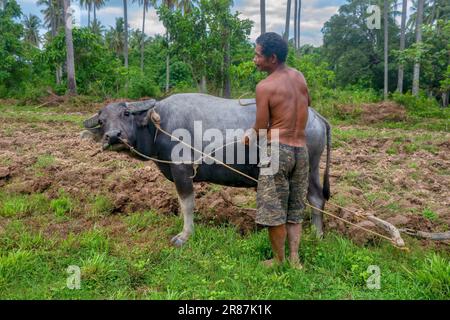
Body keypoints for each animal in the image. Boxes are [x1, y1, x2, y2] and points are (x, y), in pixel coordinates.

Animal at [84, 93, 330, 248]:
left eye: (126, 114)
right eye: (102, 121)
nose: (113, 137)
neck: (158, 126)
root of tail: (316, 116)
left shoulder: (182, 170)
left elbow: (187, 204)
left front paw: (184, 235)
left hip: (307, 169)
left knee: (315, 199)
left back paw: (317, 235)